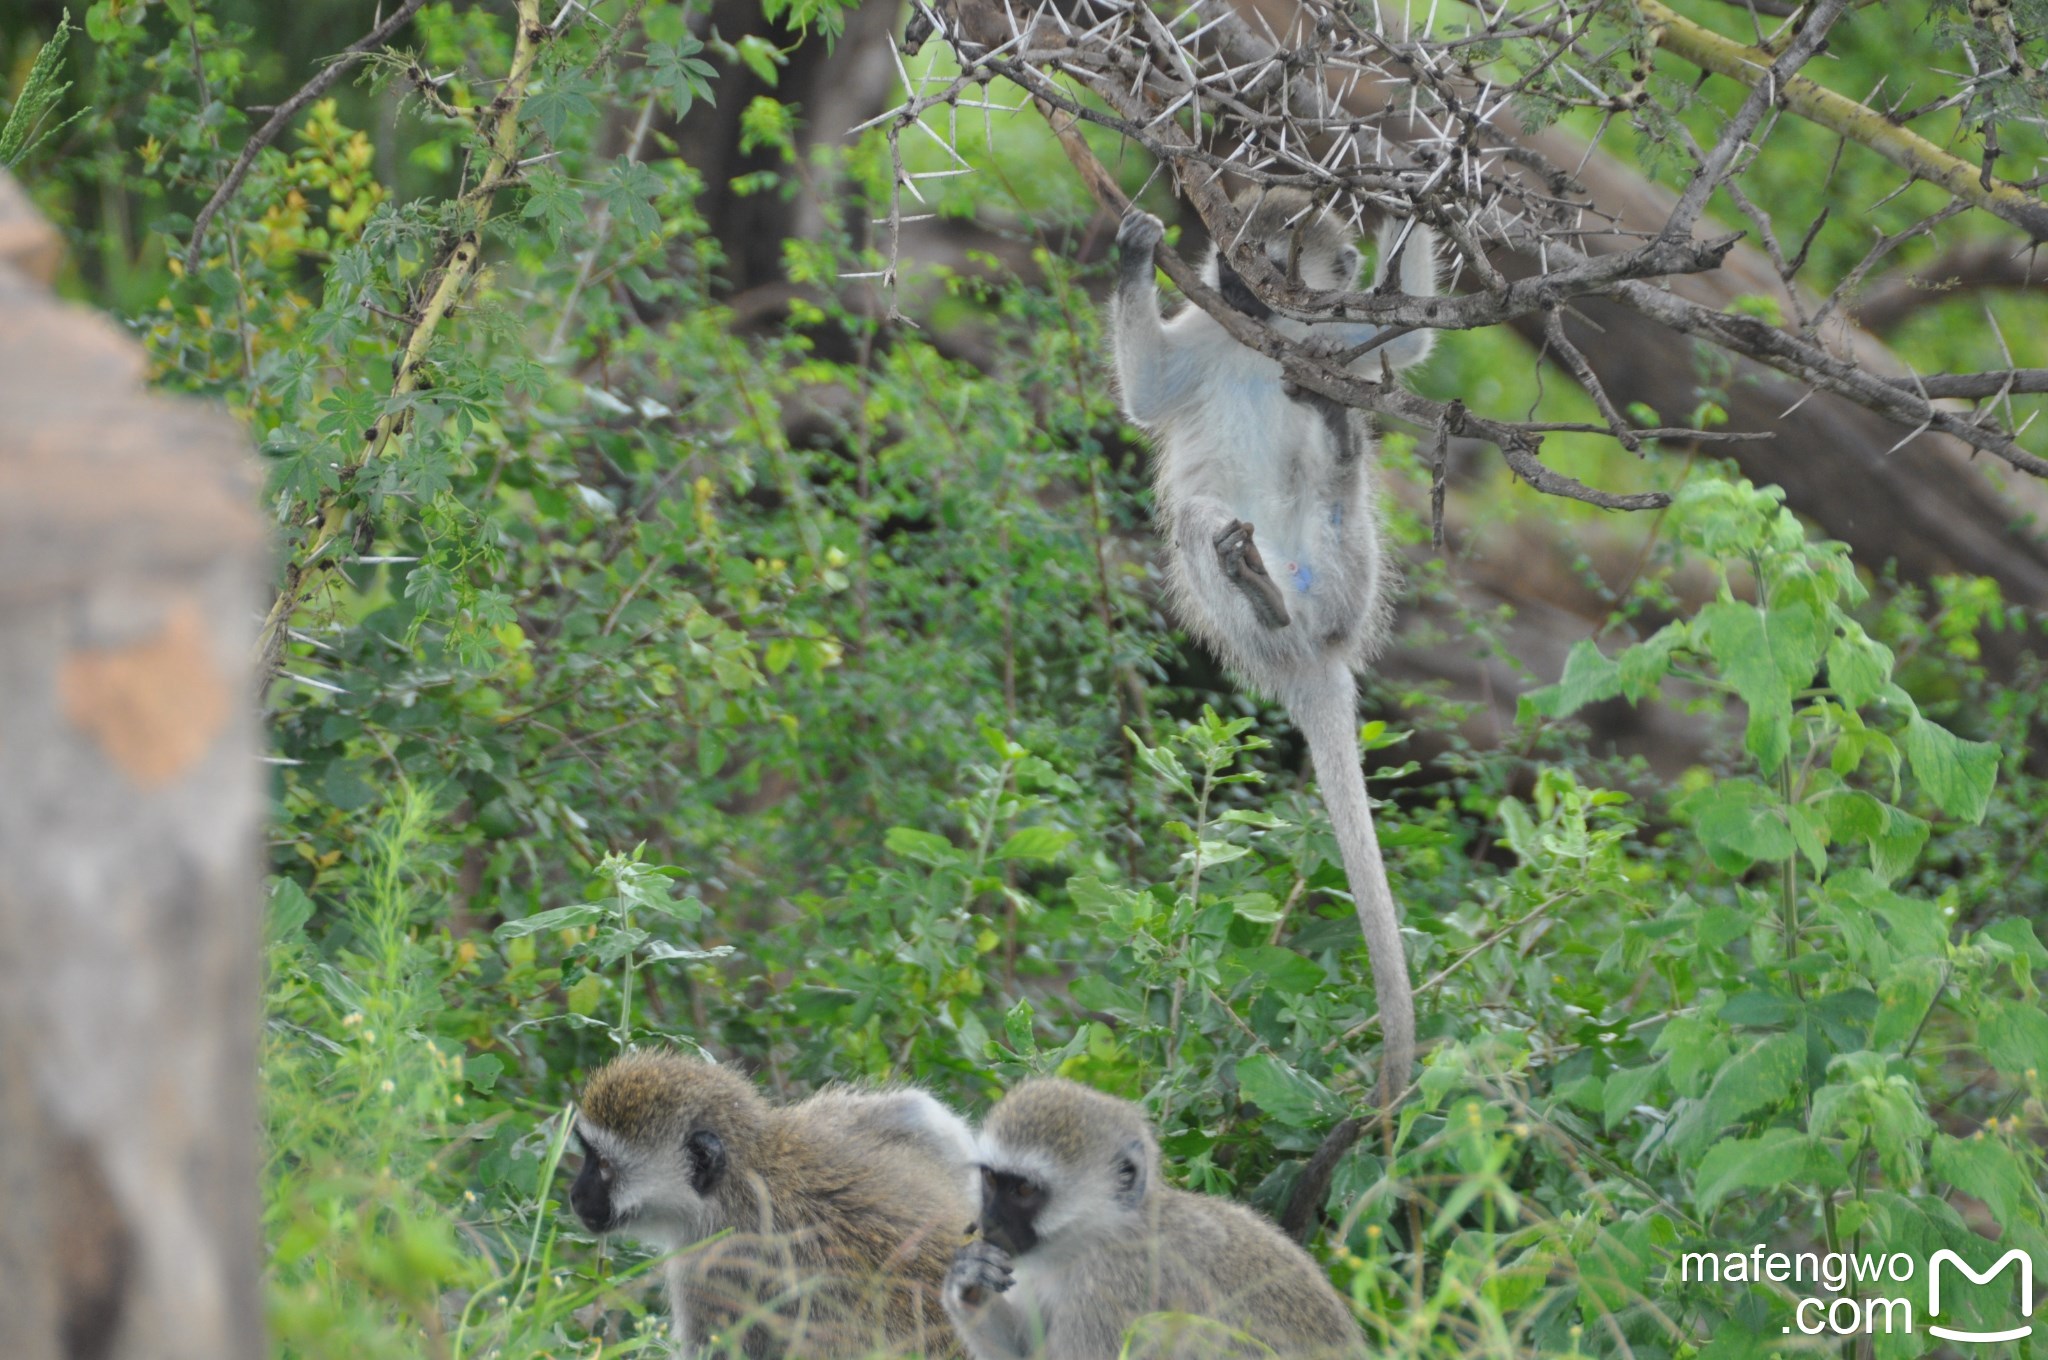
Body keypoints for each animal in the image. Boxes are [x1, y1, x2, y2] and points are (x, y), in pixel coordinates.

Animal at [937, 1081, 1359, 1351]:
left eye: (1024, 1190)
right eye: (991, 1179)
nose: (989, 1221)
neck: (1094, 1238)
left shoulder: (1115, 1285)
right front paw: (967, 1279)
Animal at [1114, 186, 1433, 1114]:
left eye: (1273, 259)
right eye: (1235, 254)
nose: (1234, 276)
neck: (1266, 335)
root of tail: (1307, 659)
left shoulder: (1340, 338)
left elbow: (1408, 339)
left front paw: (1418, 212)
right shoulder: (1205, 325)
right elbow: (1148, 393)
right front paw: (1134, 250)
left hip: (1349, 568)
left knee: (1339, 485)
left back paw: (1336, 442)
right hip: (1246, 593)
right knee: (1201, 521)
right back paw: (1251, 583)